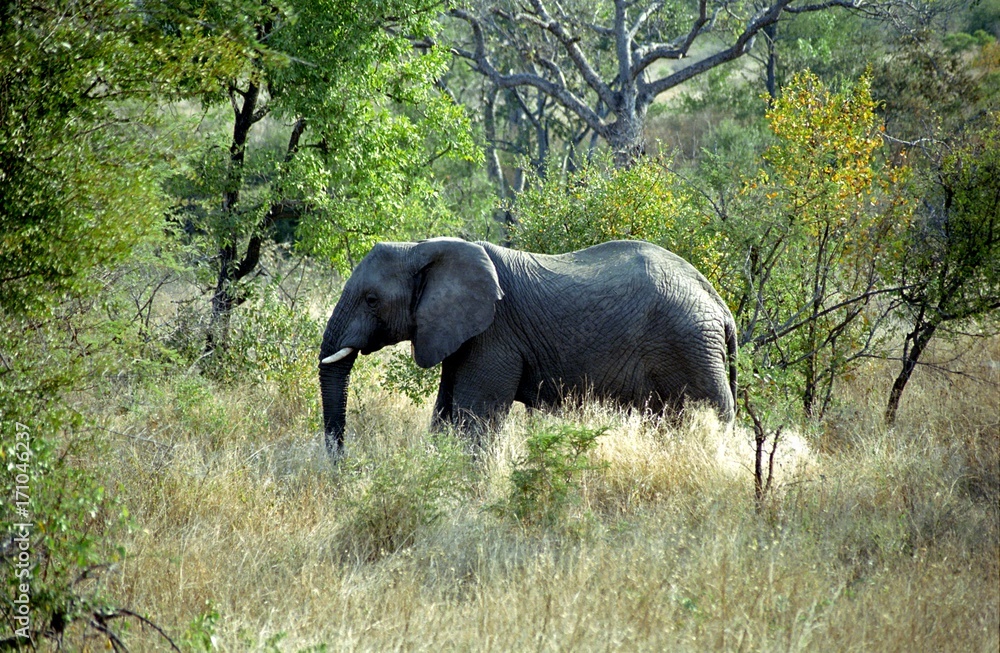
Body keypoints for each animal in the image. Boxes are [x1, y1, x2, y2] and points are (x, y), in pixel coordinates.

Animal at [318, 237, 737, 455]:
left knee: (709, 413)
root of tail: (721, 306)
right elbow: (444, 414)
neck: (423, 248)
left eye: (372, 300)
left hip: (689, 345)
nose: (343, 466)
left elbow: (476, 419)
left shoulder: (494, 334)